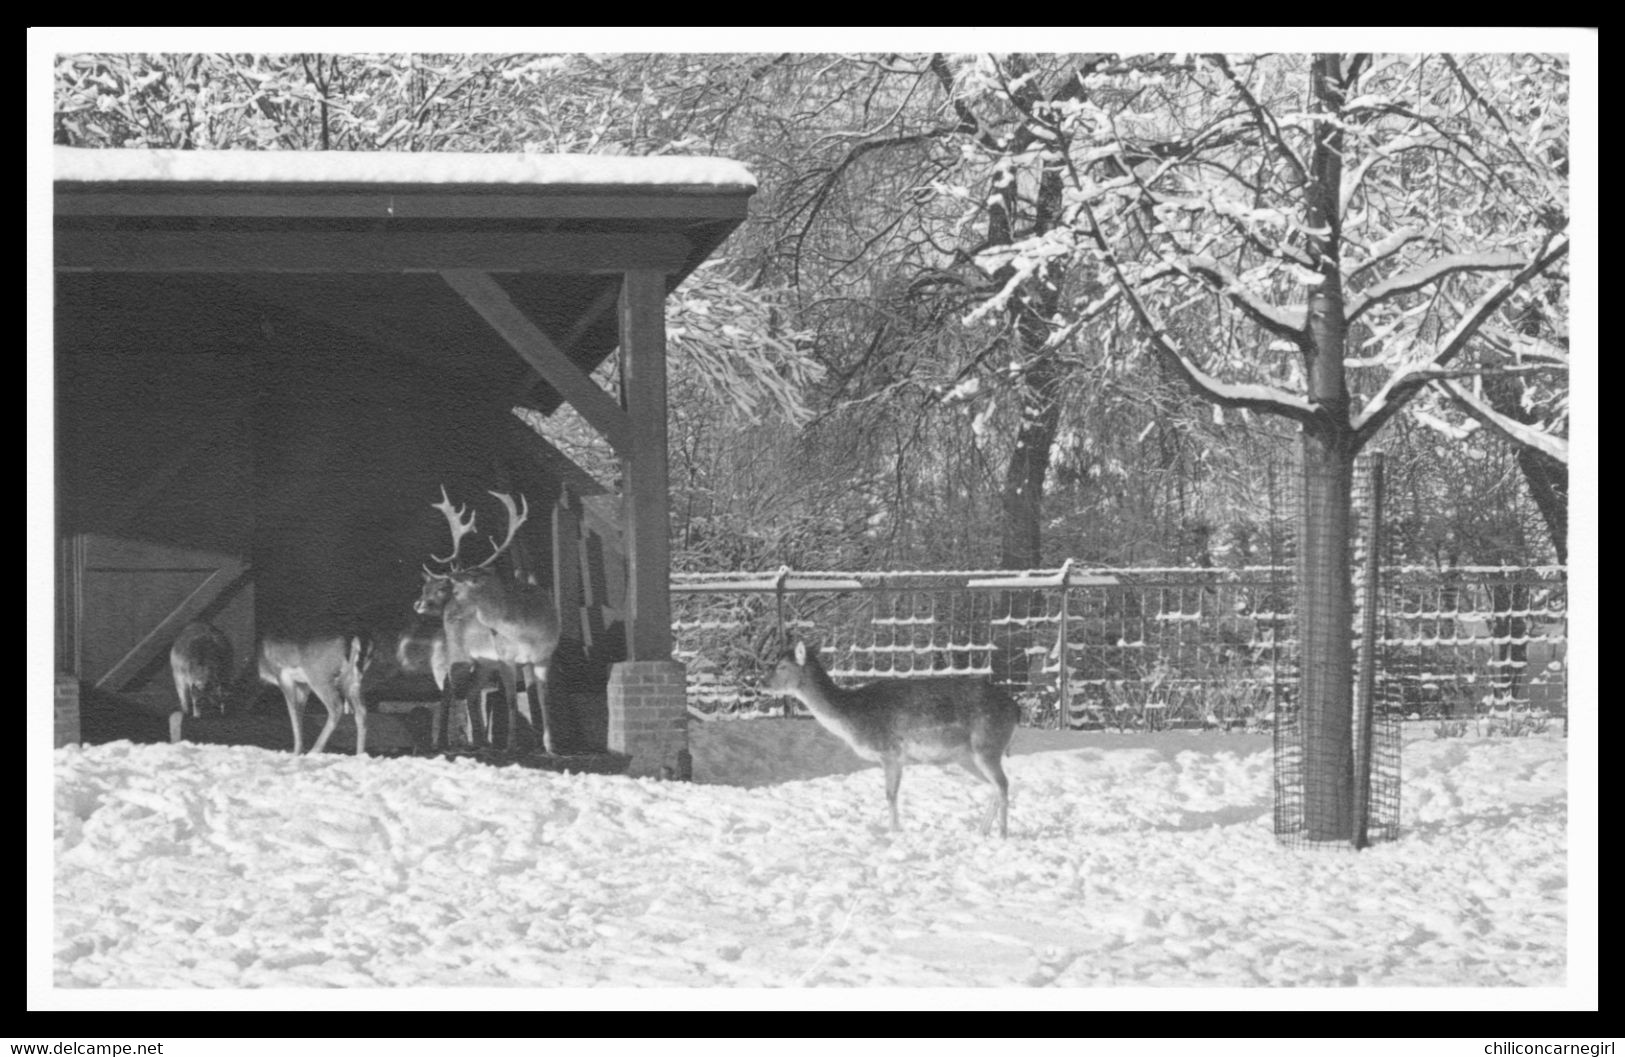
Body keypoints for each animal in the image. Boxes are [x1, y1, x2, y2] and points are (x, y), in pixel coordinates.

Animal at [416, 487, 562, 757]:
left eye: (456, 588)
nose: (452, 611)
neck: (528, 631)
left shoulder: (543, 657)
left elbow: (543, 700)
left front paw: (550, 746)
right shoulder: (505, 657)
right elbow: (512, 700)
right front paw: (512, 745)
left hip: (484, 663)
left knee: (472, 692)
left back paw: (481, 742)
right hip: (458, 654)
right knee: (449, 689)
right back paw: (444, 742)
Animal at [767, 637, 1020, 832]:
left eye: (782, 666)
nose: (763, 685)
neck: (852, 716)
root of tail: (1015, 708)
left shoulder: (888, 751)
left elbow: (890, 795)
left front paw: (894, 831)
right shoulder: (896, 758)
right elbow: (892, 794)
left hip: (987, 746)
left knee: (1003, 784)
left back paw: (1002, 834)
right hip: (966, 757)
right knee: (995, 787)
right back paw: (981, 830)